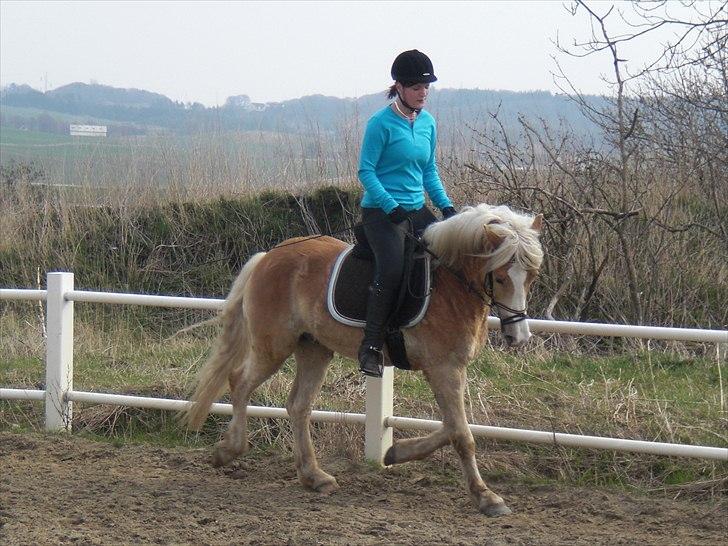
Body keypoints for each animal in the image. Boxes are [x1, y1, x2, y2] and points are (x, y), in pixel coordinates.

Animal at [185, 203, 544, 516]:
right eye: (500, 277)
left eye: (531, 277)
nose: (519, 337)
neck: (450, 287)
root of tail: (269, 256)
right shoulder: (444, 369)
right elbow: (461, 433)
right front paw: (487, 497)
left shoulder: (453, 369)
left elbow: (452, 425)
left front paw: (396, 452)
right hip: (273, 346)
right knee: (240, 382)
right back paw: (228, 450)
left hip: (314, 348)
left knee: (298, 406)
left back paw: (314, 477)